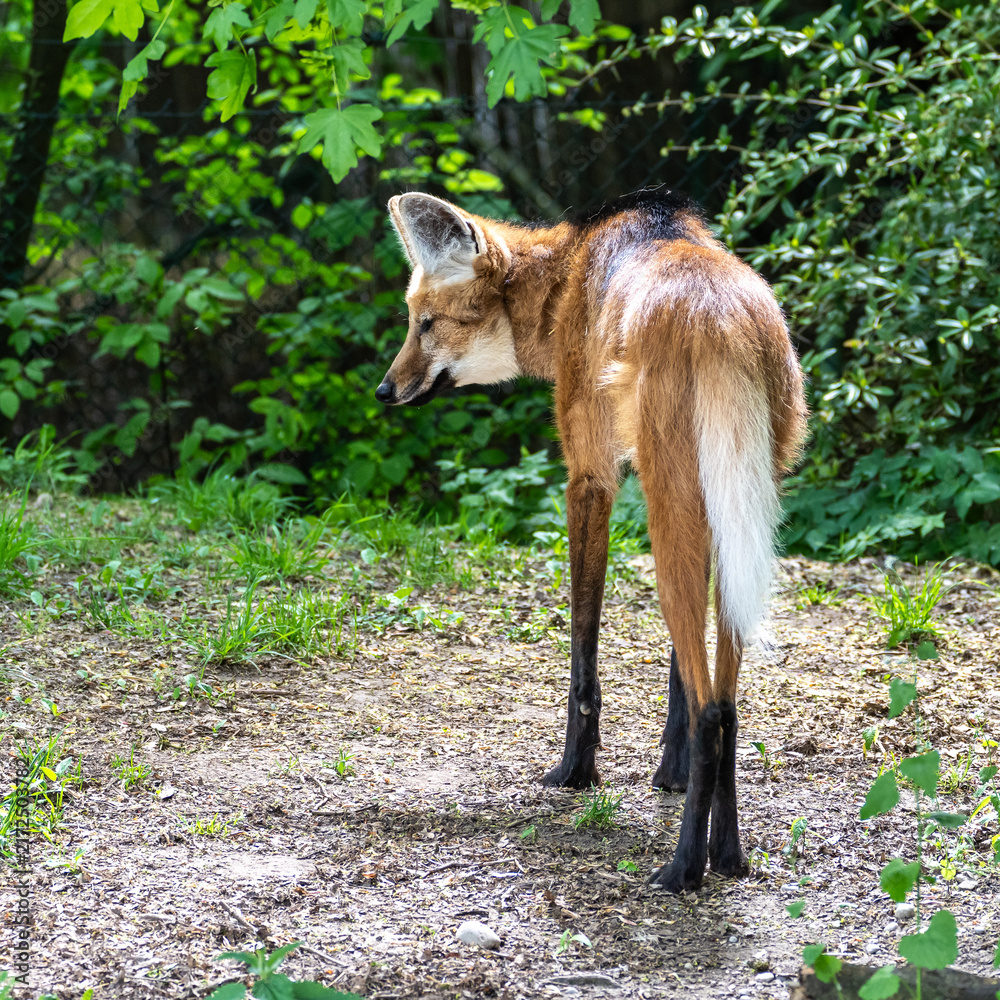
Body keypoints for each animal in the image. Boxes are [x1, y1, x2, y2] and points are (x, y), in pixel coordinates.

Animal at [375, 189, 807, 891]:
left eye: (426, 324)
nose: (384, 390)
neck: (563, 281)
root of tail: (725, 317)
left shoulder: (589, 477)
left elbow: (582, 643)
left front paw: (574, 771)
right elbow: (680, 672)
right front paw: (670, 774)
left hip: (671, 495)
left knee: (714, 709)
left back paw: (684, 868)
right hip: (739, 495)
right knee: (727, 698)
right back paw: (728, 854)